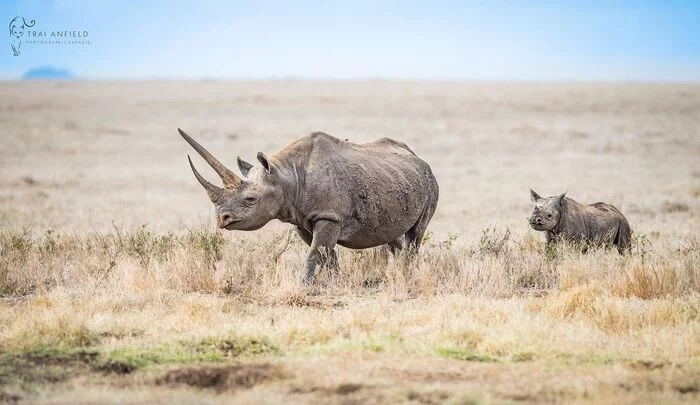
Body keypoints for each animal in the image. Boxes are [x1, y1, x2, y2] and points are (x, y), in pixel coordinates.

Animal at [178, 128, 438, 282]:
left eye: (250, 200)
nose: (222, 219)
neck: (285, 176)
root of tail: (419, 158)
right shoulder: (302, 219)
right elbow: (325, 252)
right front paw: (335, 283)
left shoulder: (329, 215)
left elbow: (316, 251)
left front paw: (304, 286)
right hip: (397, 180)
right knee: (393, 235)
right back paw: (397, 272)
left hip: (430, 182)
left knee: (416, 234)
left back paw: (407, 276)